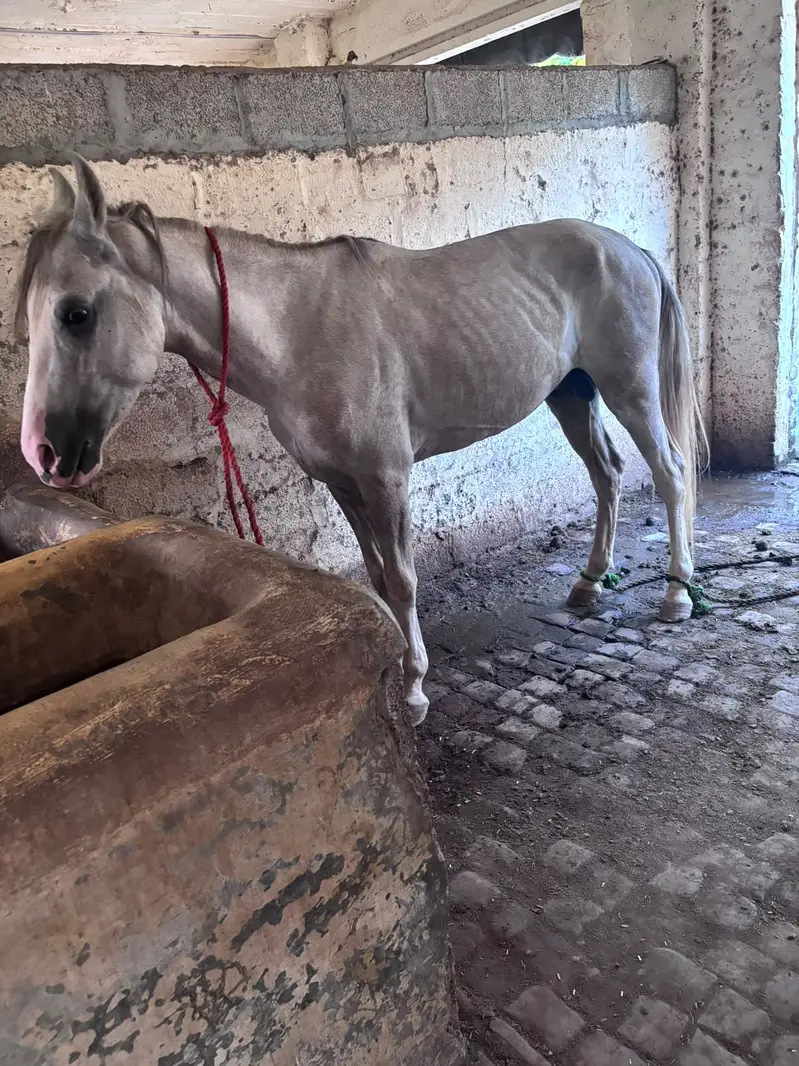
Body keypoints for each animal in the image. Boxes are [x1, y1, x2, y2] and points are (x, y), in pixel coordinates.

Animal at [15, 156, 706, 725]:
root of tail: (627, 247)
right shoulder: (343, 484)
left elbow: (402, 580)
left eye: (76, 313)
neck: (299, 333)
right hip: (571, 393)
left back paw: (676, 593)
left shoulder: (386, 478)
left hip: (630, 390)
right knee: (608, 473)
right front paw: (396, 666)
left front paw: (415, 690)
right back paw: (590, 582)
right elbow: (376, 577)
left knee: (669, 472)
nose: (44, 454)